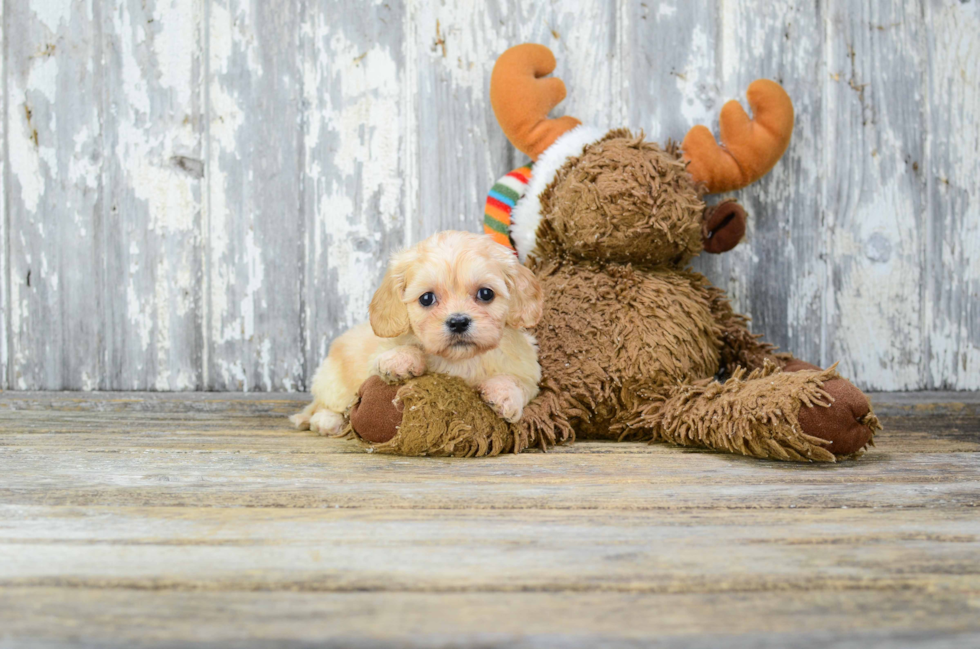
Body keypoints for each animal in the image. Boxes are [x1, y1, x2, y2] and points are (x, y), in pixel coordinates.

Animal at [294, 229, 548, 436]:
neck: (460, 360)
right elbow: (394, 353)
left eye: (486, 294)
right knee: (322, 406)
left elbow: (517, 381)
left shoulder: (529, 375)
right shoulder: (373, 361)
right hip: (332, 382)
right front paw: (401, 361)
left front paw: (504, 395)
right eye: (427, 298)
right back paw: (328, 421)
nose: (458, 322)